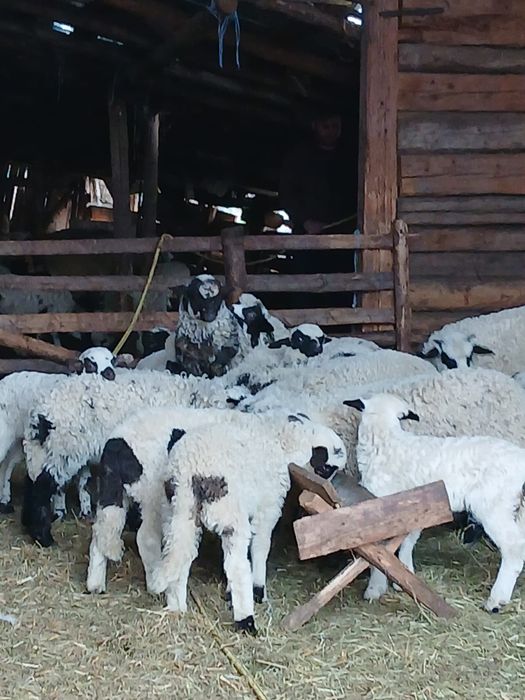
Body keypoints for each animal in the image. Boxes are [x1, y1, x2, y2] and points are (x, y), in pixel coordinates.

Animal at [22, 369, 229, 546]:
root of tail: (39, 415)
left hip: (42, 452)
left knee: (31, 482)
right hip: (62, 450)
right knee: (40, 489)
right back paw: (43, 537)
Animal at [86, 406, 346, 596]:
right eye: (326, 469)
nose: (335, 497)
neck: (277, 436)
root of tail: (116, 444)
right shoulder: (268, 505)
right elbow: (260, 546)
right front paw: (257, 587)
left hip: (114, 491)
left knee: (102, 531)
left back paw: (95, 584)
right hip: (153, 494)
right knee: (146, 538)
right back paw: (153, 582)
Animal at [146, 413, 346, 634]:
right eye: (326, 468)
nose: (332, 494)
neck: (282, 441)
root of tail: (189, 473)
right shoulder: (268, 507)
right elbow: (260, 546)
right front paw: (258, 589)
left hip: (175, 512)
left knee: (180, 553)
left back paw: (177, 605)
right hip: (228, 514)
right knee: (235, 565)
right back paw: (245, 620)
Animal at [347, 393, 525, 613]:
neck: (386, 440)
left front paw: (375, 588)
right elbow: (407, 542)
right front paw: (404, 578)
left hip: (495, 506)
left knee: (514, 548)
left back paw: (496, 601)